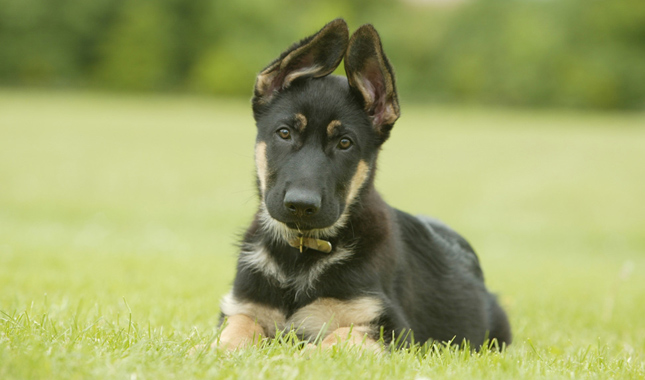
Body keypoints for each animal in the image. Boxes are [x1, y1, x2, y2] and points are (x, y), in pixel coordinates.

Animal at [218, 17, 512, 350]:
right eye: (284, 133)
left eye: (345, 143)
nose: (301, 205)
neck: (300, 255)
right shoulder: (240, 308)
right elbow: (237, 330)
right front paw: (215, 348)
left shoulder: (389, 326)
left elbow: (335, 339)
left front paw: (304, 355)